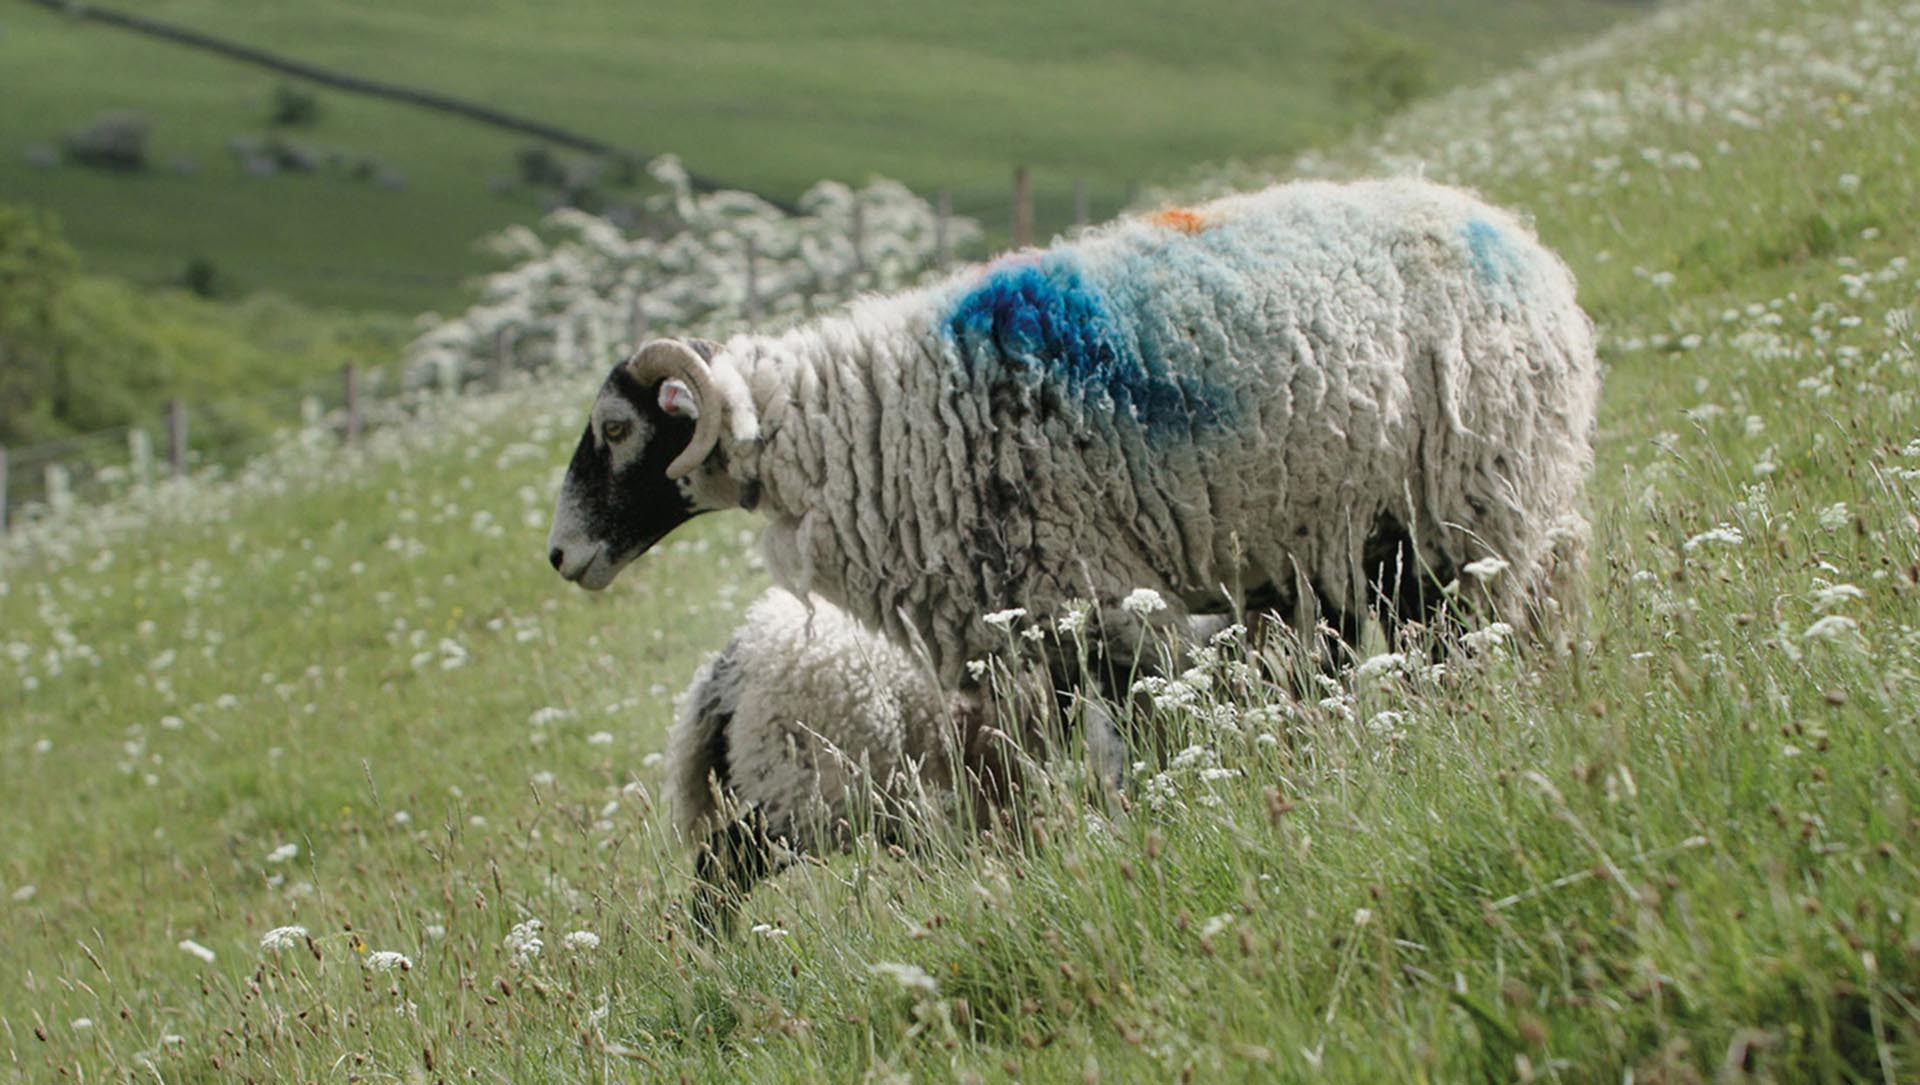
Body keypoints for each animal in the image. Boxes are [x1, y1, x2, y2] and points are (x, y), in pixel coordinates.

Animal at [549, 177, 1597, 683]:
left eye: (614, 429)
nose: (559, 557)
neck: (857, 425)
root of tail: (1524, 246)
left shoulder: (1083, 595)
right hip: (1369, 534)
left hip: (1465, 513)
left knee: (1465, 636)